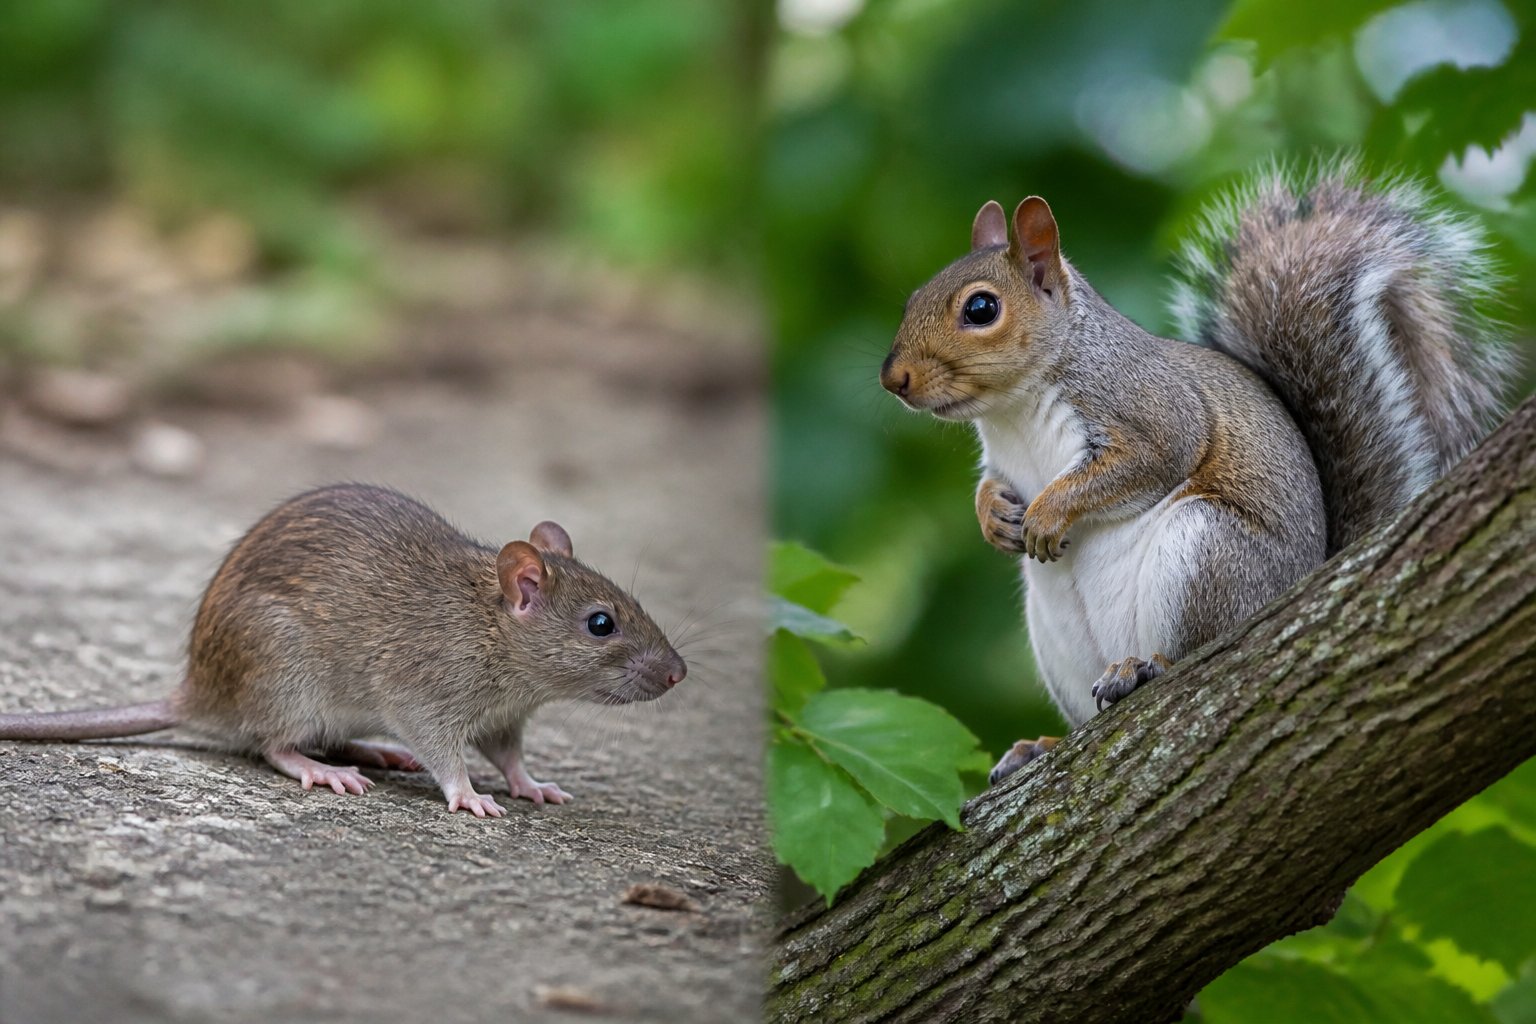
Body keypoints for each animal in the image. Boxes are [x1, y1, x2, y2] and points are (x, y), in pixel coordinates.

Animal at [879, 162, 1515, 784]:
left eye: (981, 309)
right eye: (910, 300)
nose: (893, 379)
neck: (1013, 409)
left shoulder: (1154, 415)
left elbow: (1146, 463)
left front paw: (1049, 512)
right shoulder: (1001, 459)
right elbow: (990, 485)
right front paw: (995, 518)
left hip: (1206, 551)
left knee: (1191, 652)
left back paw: (1143, 668)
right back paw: (1041, 746)